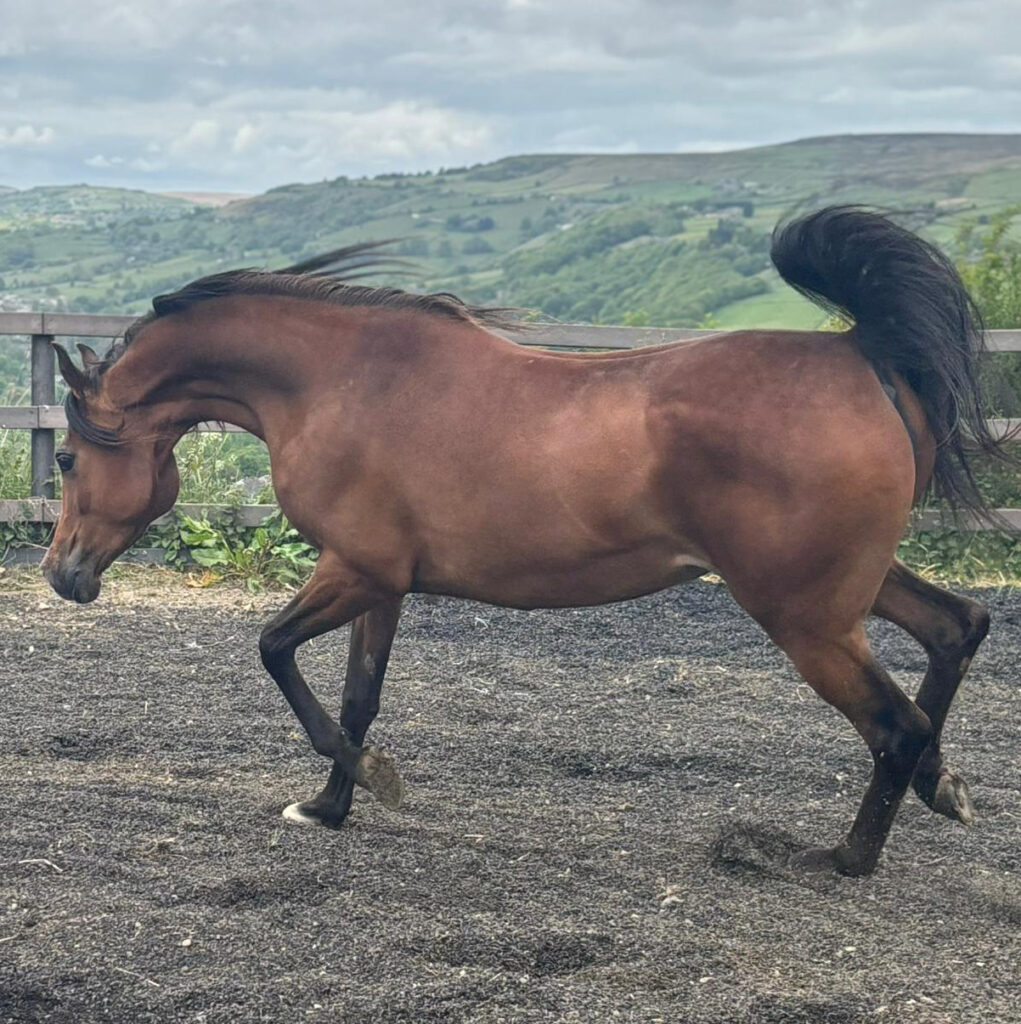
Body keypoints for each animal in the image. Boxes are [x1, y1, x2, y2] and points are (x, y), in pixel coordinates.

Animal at [41, 206, 1013, 877]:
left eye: (63, 455)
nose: (61, 576)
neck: (336, 383)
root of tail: (863, 359)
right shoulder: (381, 582)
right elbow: (357, 697)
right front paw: (329, 806)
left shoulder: (352, 570)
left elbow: (273, 650)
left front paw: (373, 783)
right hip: (849, 588)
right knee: (955, 629)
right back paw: (942, 788)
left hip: (802, 614)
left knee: (893, 722)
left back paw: (840, 859)